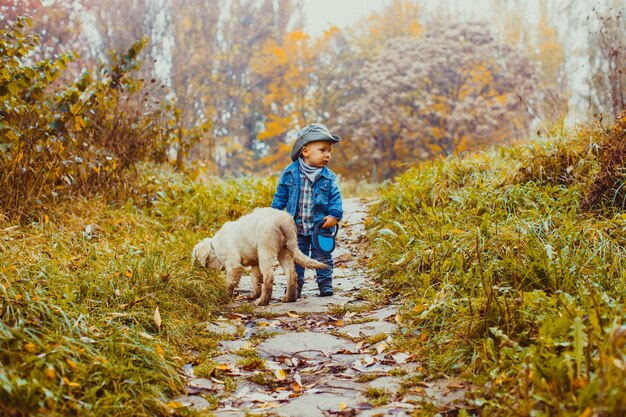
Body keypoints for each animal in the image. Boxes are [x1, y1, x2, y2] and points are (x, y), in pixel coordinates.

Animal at [190, 206, 326, 304]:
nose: (192, 272)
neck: (216, 247)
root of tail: (283, 221)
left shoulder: (234, 266)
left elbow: (230, 283)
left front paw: (224, 296)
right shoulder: (255, 264)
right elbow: (255, 280)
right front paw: (253, 295)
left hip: (264, 251)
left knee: (269, 277)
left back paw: (261, 301)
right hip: (285, 251)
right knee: (291, 275)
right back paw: (288, 298)